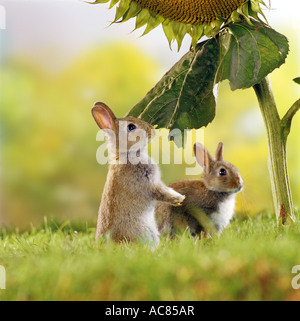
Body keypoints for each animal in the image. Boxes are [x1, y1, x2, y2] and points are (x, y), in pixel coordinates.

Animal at [91, 102, 185, 245]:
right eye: (131, 127)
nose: (151, 129)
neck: (127, 155)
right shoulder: (148, 183)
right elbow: (162, 193)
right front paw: (179, 199)